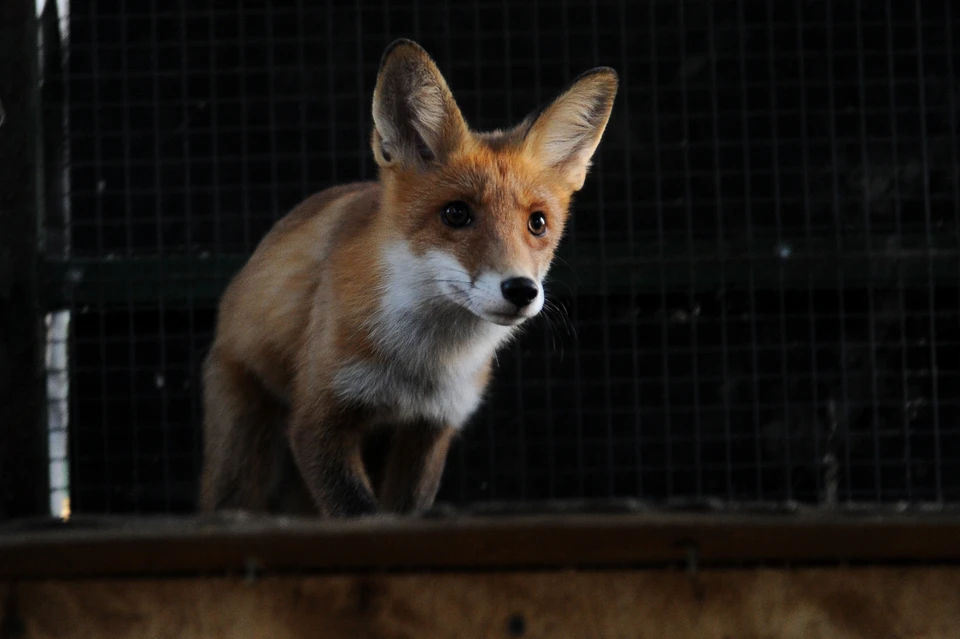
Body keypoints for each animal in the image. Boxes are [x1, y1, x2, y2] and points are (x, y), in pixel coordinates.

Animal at [200, 38, 620, 520]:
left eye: (538, 223)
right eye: (456, 213)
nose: (521, 290)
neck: (420, 366)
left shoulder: (431, 426)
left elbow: (406, 512)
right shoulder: (318, 419)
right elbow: (361, 513)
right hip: (243, 443)